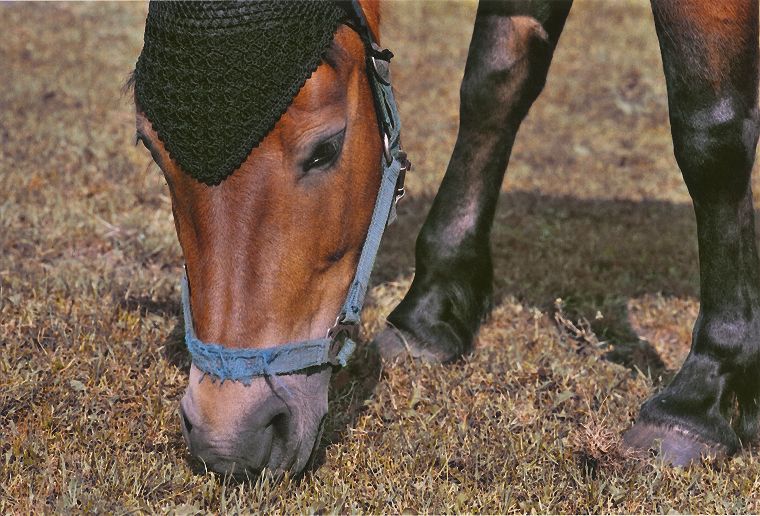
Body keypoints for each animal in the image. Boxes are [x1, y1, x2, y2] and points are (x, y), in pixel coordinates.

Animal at [135, 0, 760, 476]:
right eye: (151, 149)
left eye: (324, 149)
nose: (227, 438)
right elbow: (495, 83)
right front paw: (430, 312)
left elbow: (710, 132)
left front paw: (700, 396)